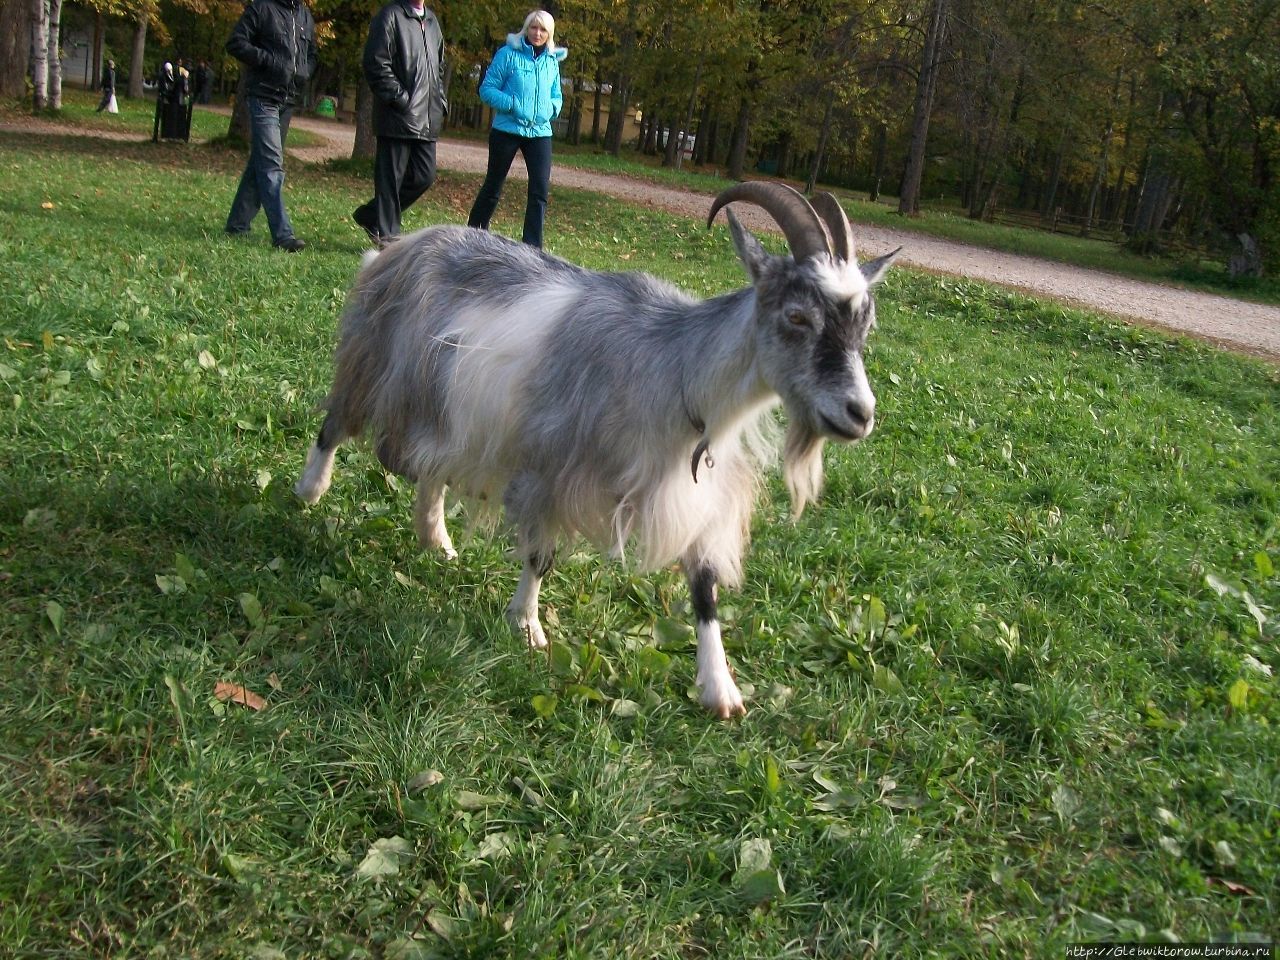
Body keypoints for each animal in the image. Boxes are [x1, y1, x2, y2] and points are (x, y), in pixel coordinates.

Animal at [295, 184, 901, 716]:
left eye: (866, 324)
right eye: (797, 316)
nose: (860, 413)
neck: (676, 371)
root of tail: (401, 245)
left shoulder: (696, 492)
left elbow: (704, 586)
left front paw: (720, 690)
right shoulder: (550, 466)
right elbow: (540, 555)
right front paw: (528, 627)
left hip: (447, 408)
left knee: (431, 467)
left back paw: (436, 540)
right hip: (373, 365)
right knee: (338, 425)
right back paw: (309, 491)